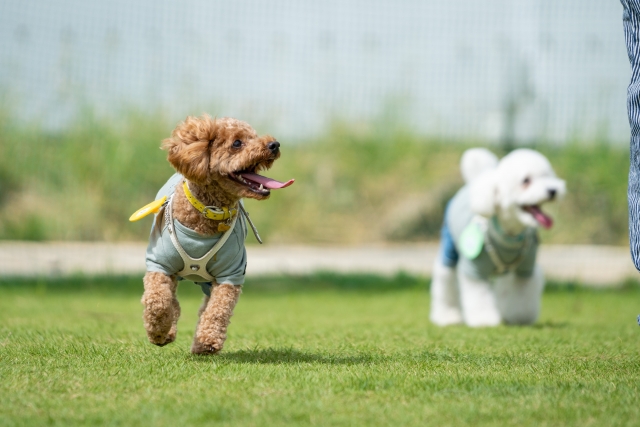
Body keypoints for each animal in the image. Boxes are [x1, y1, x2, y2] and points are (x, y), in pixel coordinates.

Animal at [430, 148, 564, 328]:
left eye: (547, 176)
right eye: (526, 181)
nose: (552, 190)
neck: (509, 236)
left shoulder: (525, 270)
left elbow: (522, 296)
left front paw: (520, 317)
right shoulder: (474, 270)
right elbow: (479, 296)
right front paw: (484, 320)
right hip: (449, 248)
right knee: (445, 280)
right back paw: (448, 316)